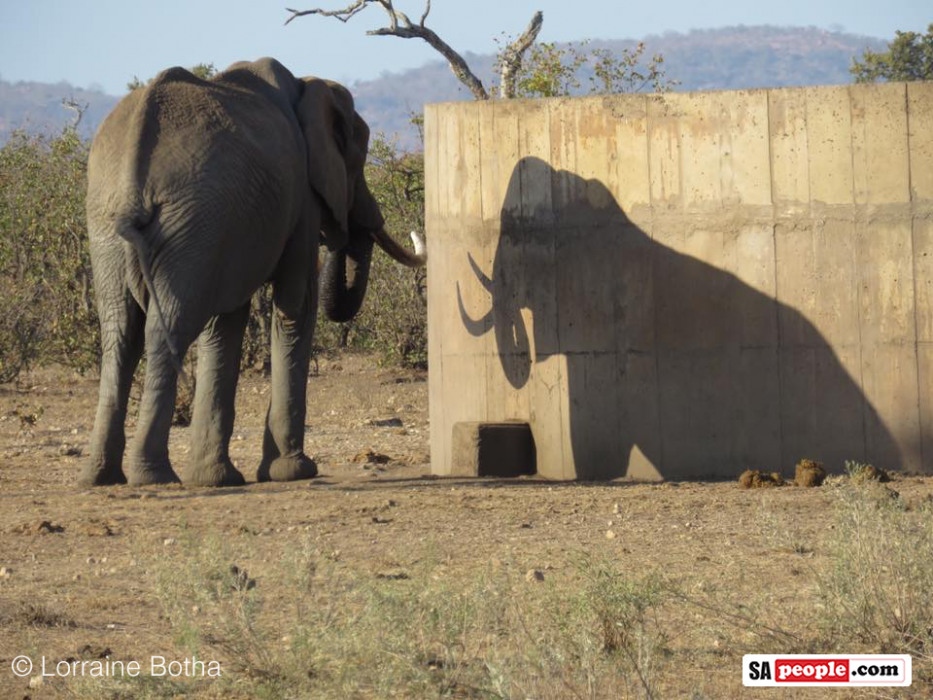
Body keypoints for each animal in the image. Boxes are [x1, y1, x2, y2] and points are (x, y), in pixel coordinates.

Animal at [80, 57, 425, 488]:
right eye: (358, 159)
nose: (345, 225)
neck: (307, 88)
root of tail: (132, 177)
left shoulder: (228, 234)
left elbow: (223, 326)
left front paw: (216, 478)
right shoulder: (299, 198)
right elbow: (296, 307)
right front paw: (293, 471)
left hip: (114, 224)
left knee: (120, 335)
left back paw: (102, 476)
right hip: (186, 223)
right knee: (166, 329)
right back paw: (155, 476)